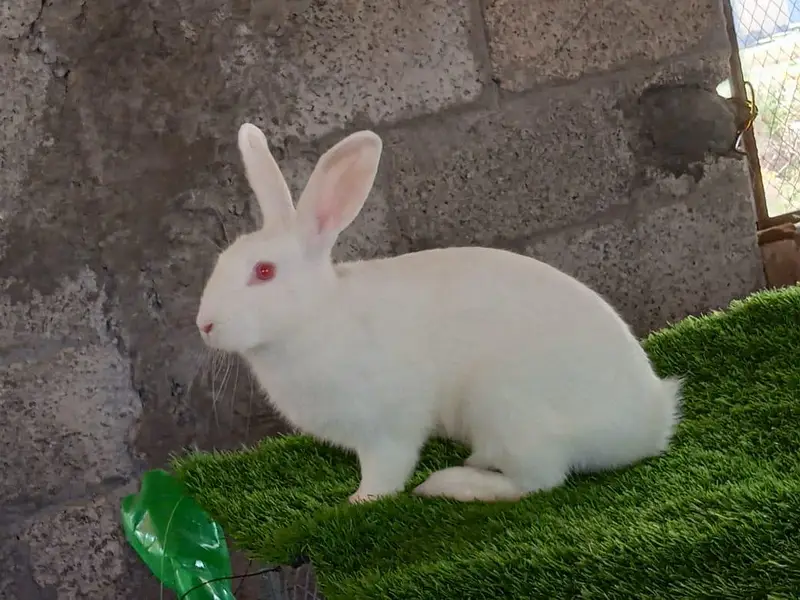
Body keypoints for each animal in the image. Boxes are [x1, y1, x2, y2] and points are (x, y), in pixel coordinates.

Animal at [195, 122, 682, 504]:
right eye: (220, 260)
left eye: (263, 271)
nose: (204, 325)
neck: (318, 317)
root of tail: (652, 422)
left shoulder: (389, 424)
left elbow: (386, 470)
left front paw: (357, 502)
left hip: (509, 409)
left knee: (539, 482)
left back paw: (450, 483)